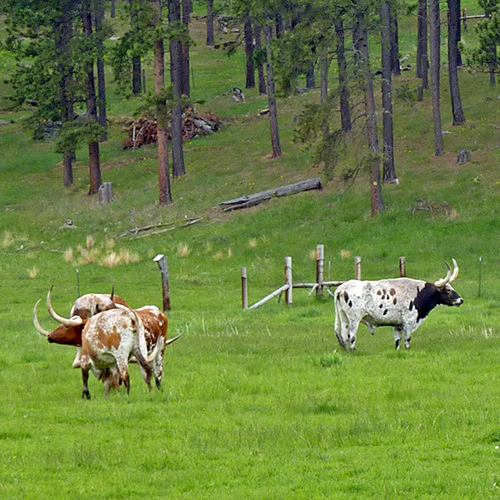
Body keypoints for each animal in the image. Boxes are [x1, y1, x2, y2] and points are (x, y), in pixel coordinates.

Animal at [334, 260, 462, 350]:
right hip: (354, 319)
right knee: (351, 336)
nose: (461, 300)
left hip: (344, 317)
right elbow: (407, 340)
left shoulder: (397, 325)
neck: (418, 293)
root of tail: (342, 288)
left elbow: (398, 342)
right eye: (448, 289)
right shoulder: (408, 322)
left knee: (344, 335)